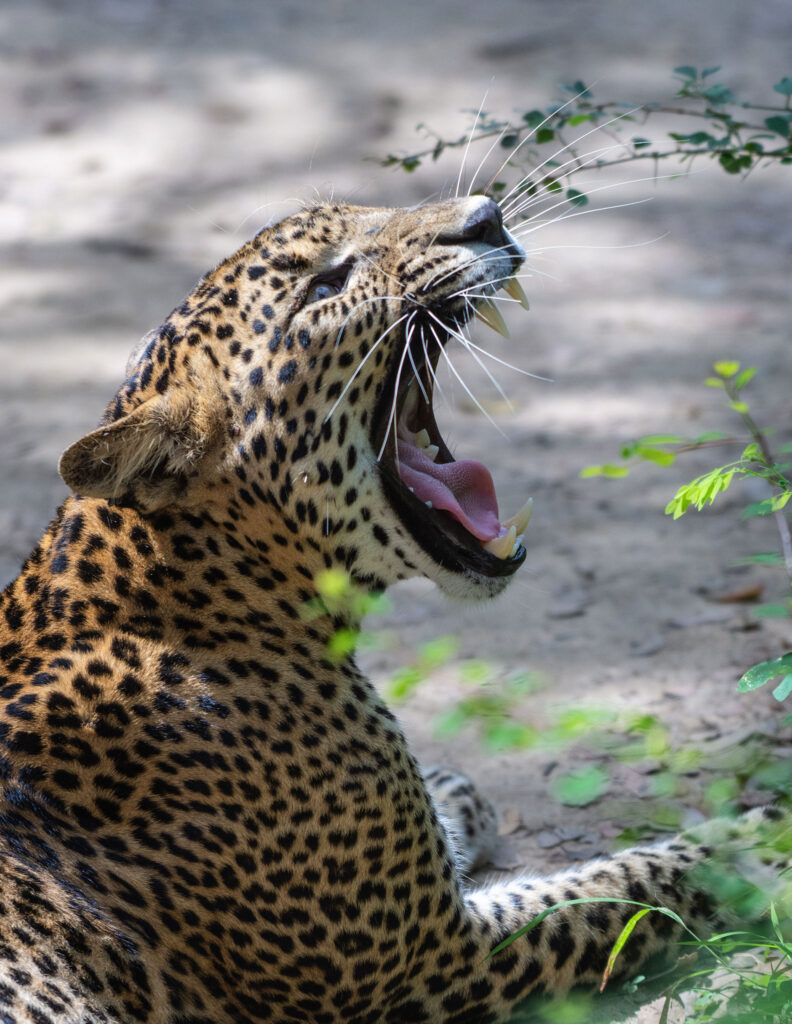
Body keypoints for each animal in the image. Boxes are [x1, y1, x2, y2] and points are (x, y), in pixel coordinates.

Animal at [0, 193, 786, 1024]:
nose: (486, 215)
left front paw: (452, 793)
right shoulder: (431, 963)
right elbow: (617, 886)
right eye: (325, 283)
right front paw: (759, 843)